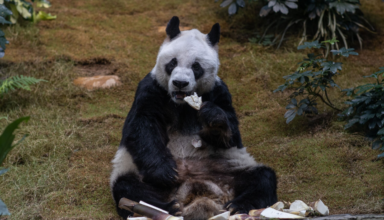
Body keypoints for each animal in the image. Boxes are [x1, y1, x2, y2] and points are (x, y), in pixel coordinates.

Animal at [109, 16, 278, 219]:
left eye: (196, 66)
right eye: (172, 63)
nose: (180, 83)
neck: (182, 103)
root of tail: (197, 194)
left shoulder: (219, 92)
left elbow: (232, 135)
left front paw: (213, 118)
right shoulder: (151, 89)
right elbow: (143, 126)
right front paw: (165, 172)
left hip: (230, 167)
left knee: (262, 178)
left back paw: (237, 206)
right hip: (136, 171)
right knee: (129, 187)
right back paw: (167, 207)